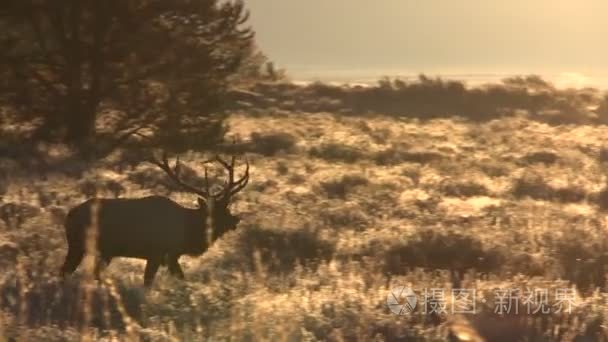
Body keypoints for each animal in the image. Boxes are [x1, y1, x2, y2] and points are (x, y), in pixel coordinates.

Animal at [61, 153, 249, 286]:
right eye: (217, 211)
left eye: (227, 208)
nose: (235, 220)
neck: (185, 232)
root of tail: (68, 215)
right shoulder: (157, 253)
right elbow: (148, 282)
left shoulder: (171, 256)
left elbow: (181, 278)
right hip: (77, 245)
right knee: (65, 271)